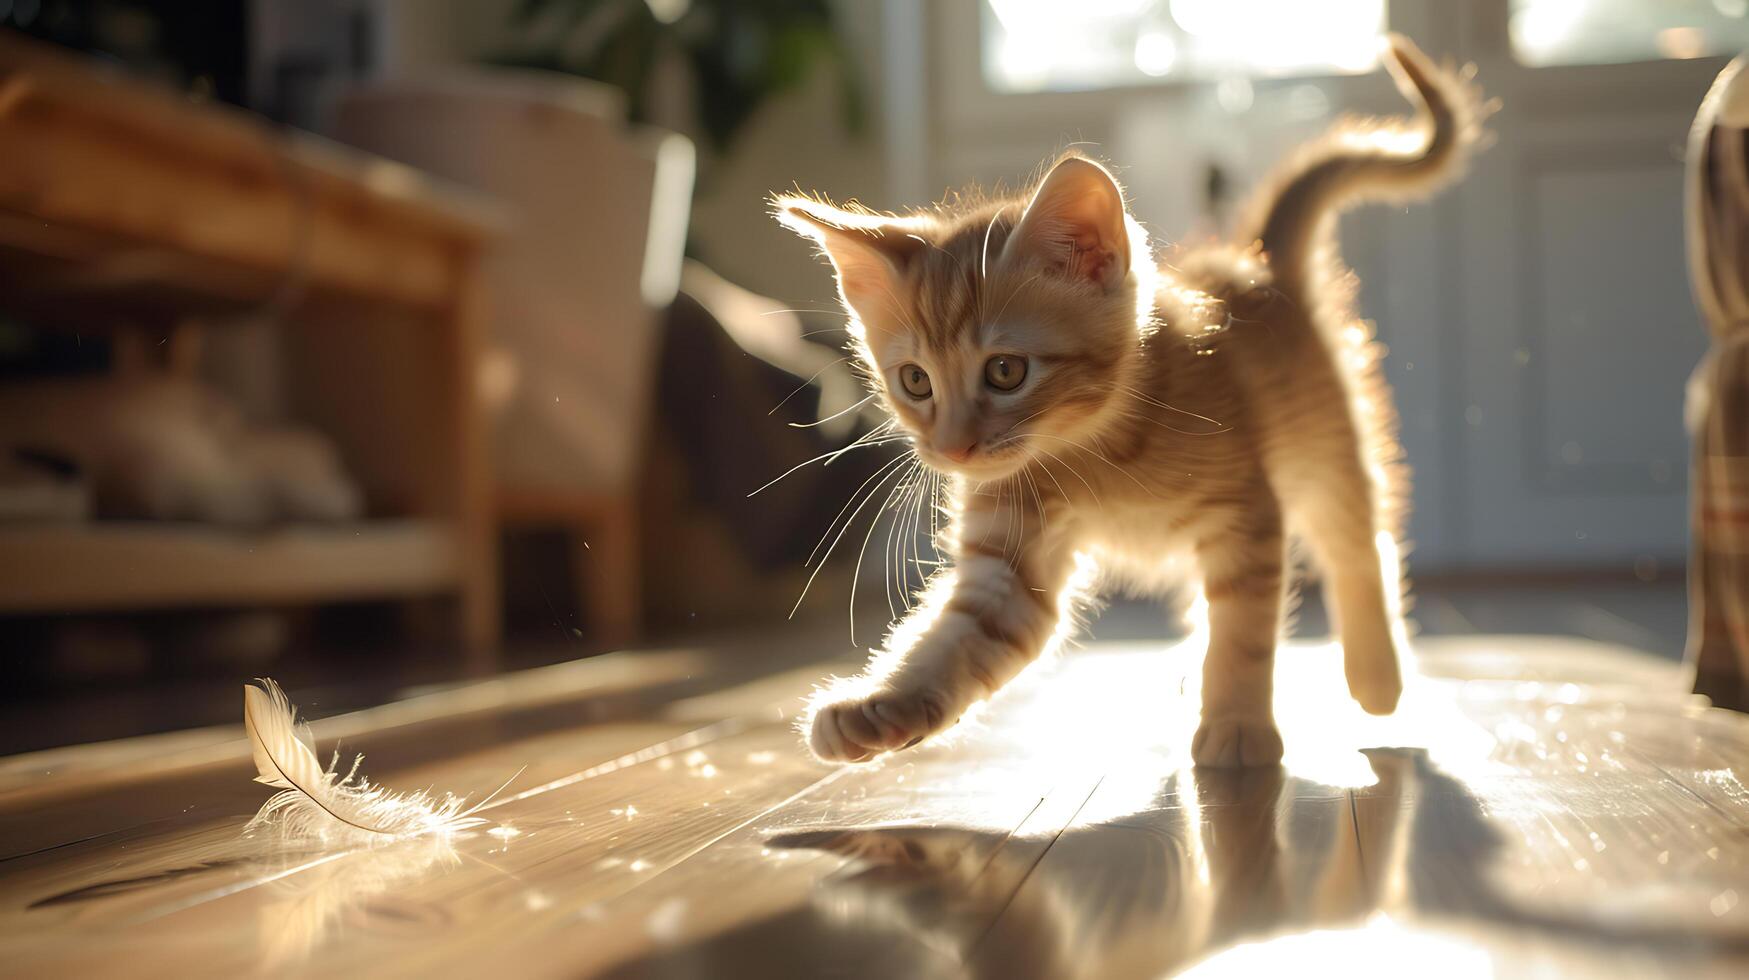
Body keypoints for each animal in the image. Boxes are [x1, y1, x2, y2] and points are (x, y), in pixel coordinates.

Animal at [780, 36, 1490, 766]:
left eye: (1005, 371)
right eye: (915, 382)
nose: (952, 448)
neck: (1089, 449)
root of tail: (1256, 263)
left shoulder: (1246, 513)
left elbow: (1244, 626)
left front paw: (1238, 723)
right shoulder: (1010, 559)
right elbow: (964, 636)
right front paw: (879, 707)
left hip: (1325, 445)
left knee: (1358, 541)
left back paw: (1375, 674)